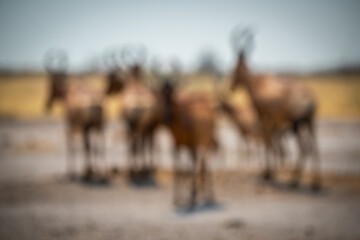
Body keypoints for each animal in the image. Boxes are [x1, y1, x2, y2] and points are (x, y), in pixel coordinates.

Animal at [44, 51, 105, 182]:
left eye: (51, 85)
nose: (47, 104)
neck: (69, 91)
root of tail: (94, 101)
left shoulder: (70, 125)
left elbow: (71, 145)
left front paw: (71, 173)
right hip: (99, 126)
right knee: (98, 145)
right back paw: (99, 171)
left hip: (86, 128)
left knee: (87, 145)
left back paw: (88, 172)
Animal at [229, 27, 320, 189]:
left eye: (235, 68)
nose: (231, 86)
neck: (258, 83)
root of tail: (309, 97)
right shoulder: (274, 121)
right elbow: (273, 143)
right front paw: (272, 172)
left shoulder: (264, 117)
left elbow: (268, 142)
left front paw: (267, 174)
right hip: (310, 123)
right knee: (315, 147)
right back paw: (315, 184)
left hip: (297, 126)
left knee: (304, 149)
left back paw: (294, 181)